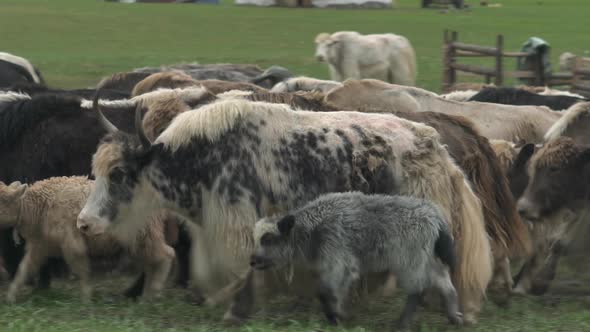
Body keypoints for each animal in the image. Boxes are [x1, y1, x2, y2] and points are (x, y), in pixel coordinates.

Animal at [0, 178, 176, 302]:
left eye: (2, 200)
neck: (40, 206)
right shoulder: (40, 246)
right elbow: (24, 270)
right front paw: (11, 296)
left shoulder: (72, 243)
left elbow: (81, 269)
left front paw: (86, 298)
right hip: (140, 240)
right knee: (151, 264)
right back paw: (146, 296)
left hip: (143, 236)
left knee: (167, 255)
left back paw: (154, 291)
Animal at [250, 192, 462, 330]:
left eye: (268, 239)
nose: (253, 261)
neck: (313, 230)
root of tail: (435, 216)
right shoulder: (336, 265)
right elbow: (332, 292)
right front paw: (338, 316)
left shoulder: (339, 262)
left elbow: (324, 291)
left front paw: (338, 317)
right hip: (425, 256)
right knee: (443, 279)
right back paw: (454, 316)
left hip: (410, 259)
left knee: (417, 289)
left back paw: (402, 323)